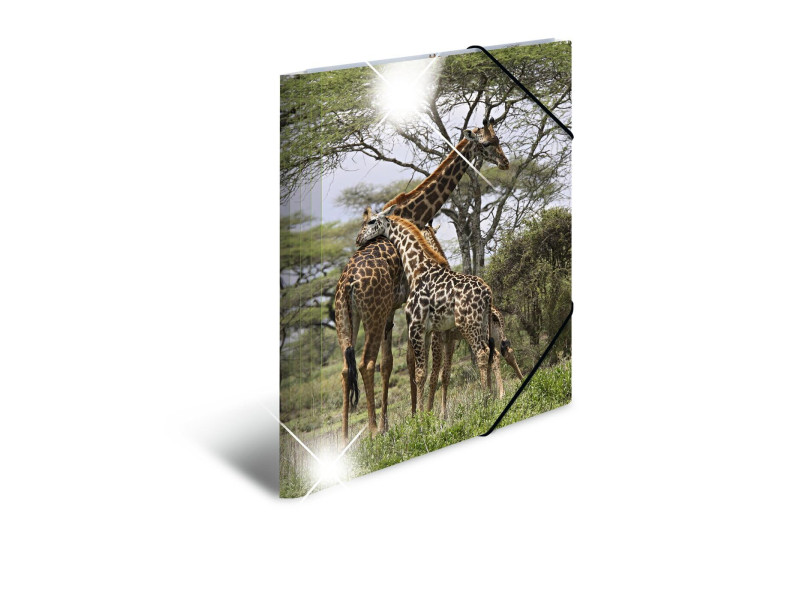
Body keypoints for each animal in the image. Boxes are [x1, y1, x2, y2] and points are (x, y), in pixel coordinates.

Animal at [355, 207, 495, 417]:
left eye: (371, 221)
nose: (358, 239)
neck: (416, 268)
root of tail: (488, 293)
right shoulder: (428, 330)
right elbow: (428, 372)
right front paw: (427, 414)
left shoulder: (416, 326)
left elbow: (421, 374)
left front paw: (421, 417)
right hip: (483, 322)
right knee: (492, 352)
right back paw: (495, 397)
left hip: (468, 323)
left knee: (481, 352)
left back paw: (486, 401)